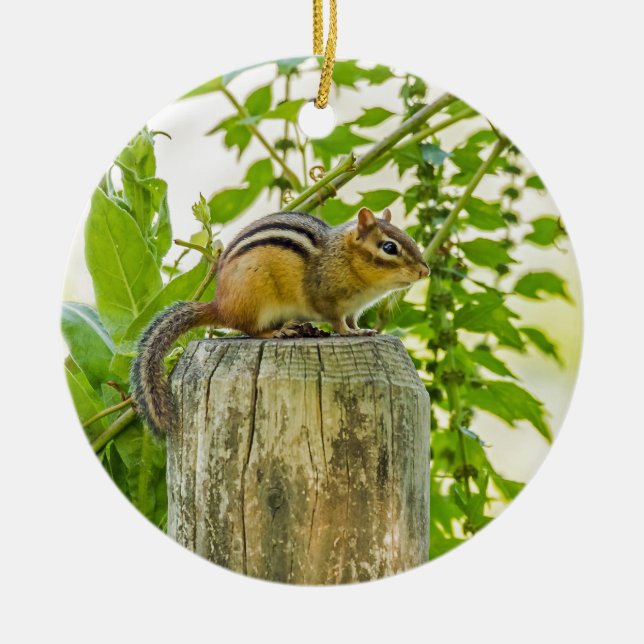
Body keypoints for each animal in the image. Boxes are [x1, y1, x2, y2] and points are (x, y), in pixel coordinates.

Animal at [131, 207, 429, 436]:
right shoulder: (328, 301)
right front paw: (349, 333)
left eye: (409, 238)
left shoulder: (354, 309)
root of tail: (220, 305)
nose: (425, 271)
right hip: (257, 297)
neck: (346, 258)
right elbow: (338, 323)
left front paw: (363, 330)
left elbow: (353, 321)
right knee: (250, 329)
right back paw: (278, 332)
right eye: (389, 247)